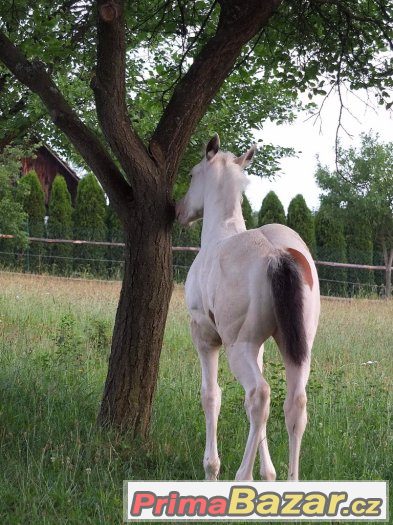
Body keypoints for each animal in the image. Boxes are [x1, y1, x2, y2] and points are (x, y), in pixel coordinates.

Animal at [175, 134, 318, 478]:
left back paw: (243, 475)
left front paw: (212, 469)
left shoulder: (206, 337)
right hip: (296, 348)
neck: (221, 234)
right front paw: (268, 473)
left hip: (238, 347)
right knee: (294, 404)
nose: (178, 210)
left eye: (192, 175)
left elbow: (211, 396)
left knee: (259, 395)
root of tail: (276, 255)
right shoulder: (262, 346)